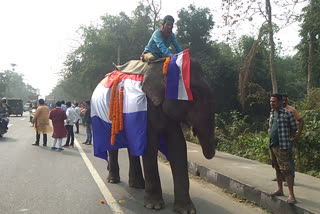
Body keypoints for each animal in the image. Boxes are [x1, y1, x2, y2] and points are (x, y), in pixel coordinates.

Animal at [106, 57, 216, 214]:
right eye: (193, 94)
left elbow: (178, 145)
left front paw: (186, 210)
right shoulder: (147, 105)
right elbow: (150, 144)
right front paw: (155, 206)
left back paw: (137, 185)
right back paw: (113, 180)